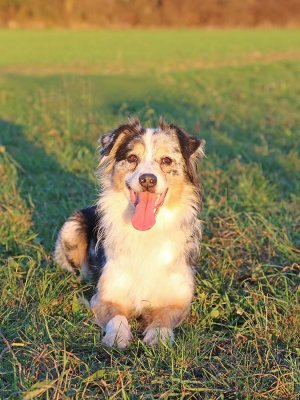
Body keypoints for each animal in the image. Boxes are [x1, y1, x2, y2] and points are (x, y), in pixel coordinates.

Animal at [54, 116, 204, 346]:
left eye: (167, 161)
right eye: (132, 157)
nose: (148, 180)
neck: (147, 234)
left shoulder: (179, 298)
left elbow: (164, 316)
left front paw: (159, 336)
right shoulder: (106, 295)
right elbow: (117, 316)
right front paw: (117, 336)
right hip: (71, 228)